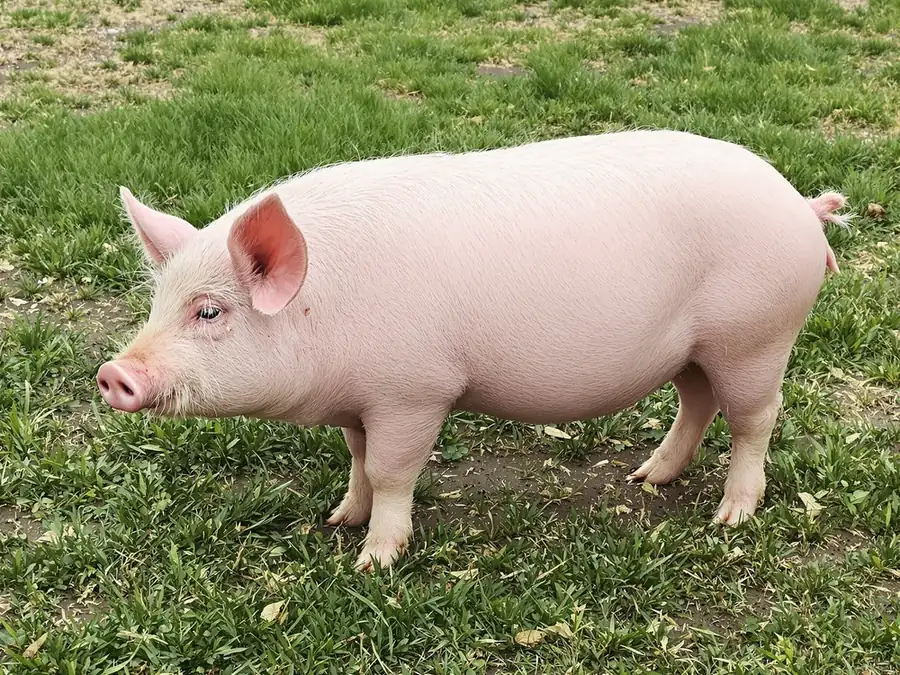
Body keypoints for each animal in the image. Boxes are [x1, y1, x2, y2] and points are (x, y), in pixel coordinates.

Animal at [96, 129, 848, 570]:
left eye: (210, 311)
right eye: (158, 304)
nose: (111, 372)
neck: (326, 307)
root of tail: (800, 205)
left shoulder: (412, 390)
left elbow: (393, 470)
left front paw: (373, 560)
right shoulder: (360, 401)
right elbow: (358, 460)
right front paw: (338, 518)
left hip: (755, 334)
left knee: (756, 417)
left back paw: (730, 516)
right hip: (691, 350)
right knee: (696, 404)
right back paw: (646, 478)